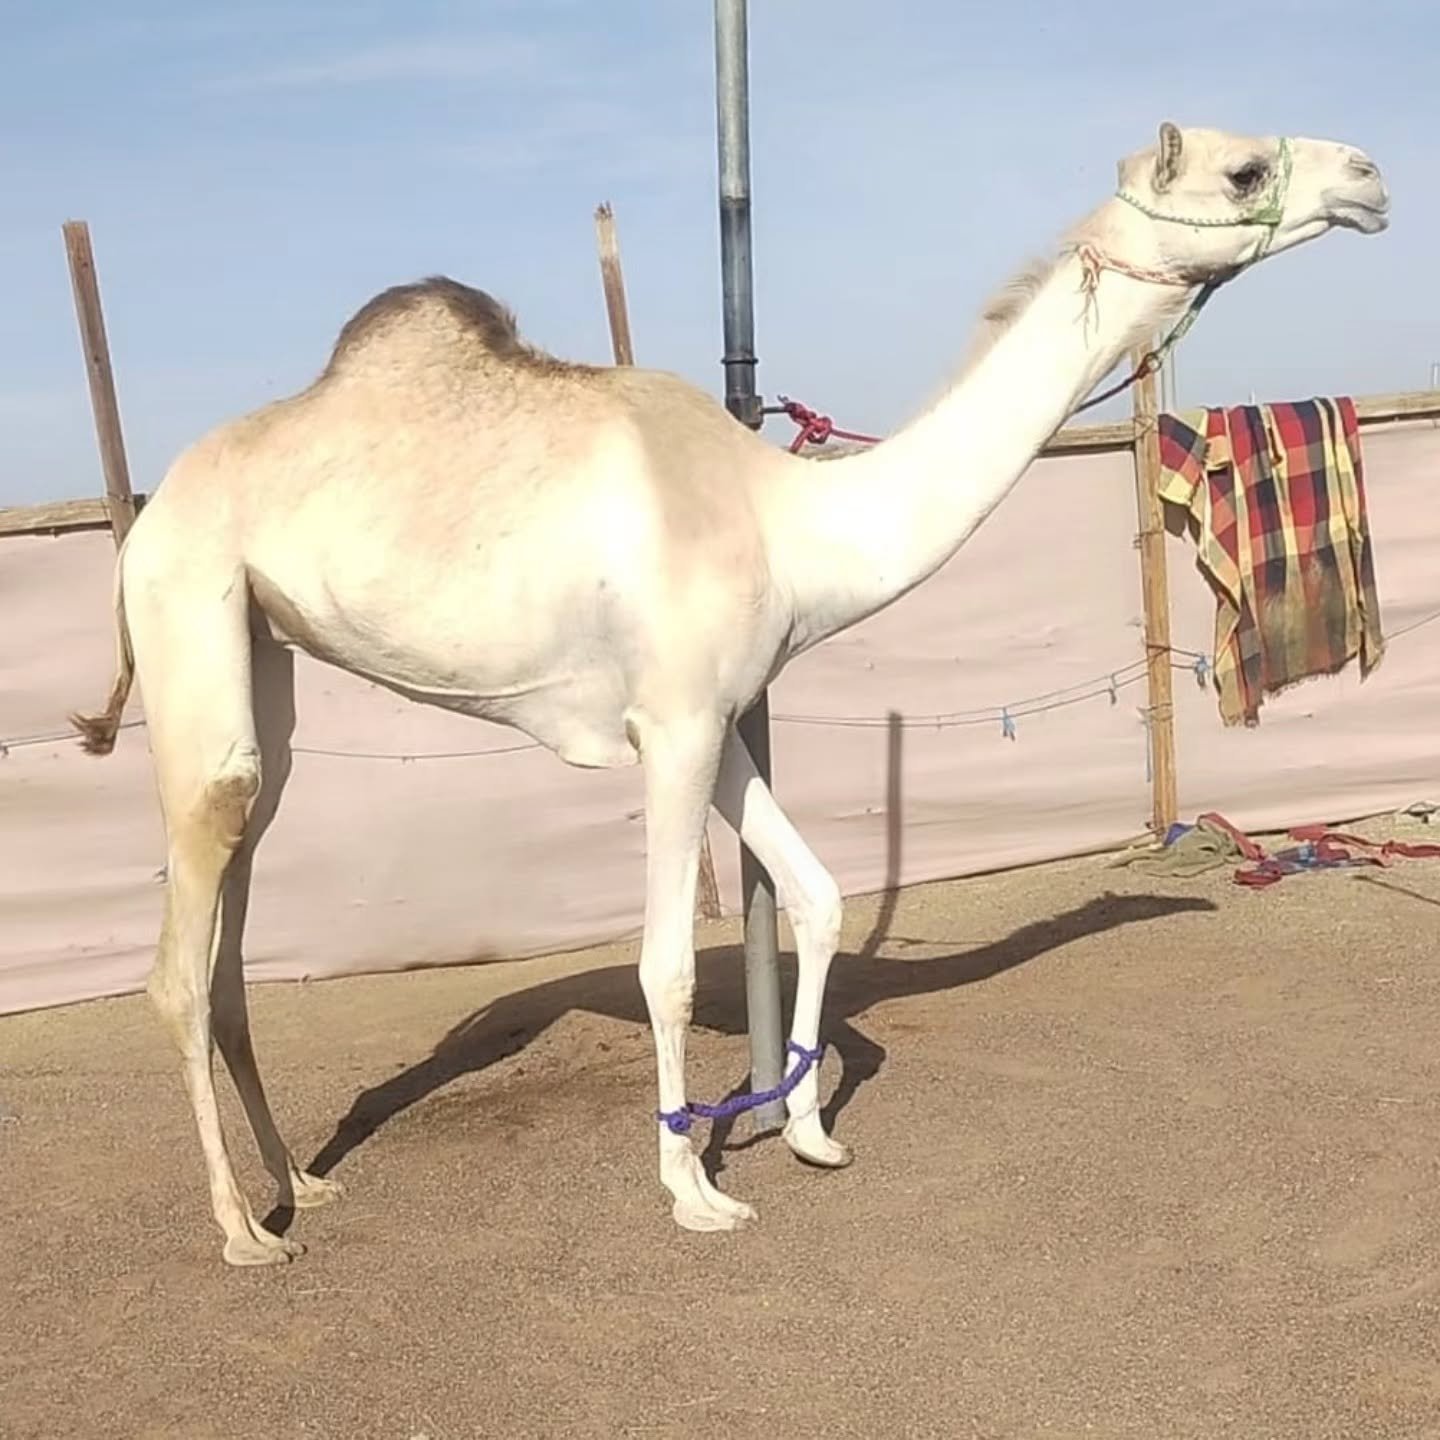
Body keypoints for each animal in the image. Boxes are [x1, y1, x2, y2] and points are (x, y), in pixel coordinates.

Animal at [72, 122, 1388, 1265]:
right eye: (1241, 167)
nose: (1371, 176)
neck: (789, 518)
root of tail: (152, 510)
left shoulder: (718, 718)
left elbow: (819, 894)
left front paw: (806, 1129)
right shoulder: (673, 726)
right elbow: (662, 960)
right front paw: (692, 1188)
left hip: (263, 651)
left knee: (237, 910)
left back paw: (304, 1180)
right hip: (187, 601)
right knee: (182, 950)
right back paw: (243, 1230)